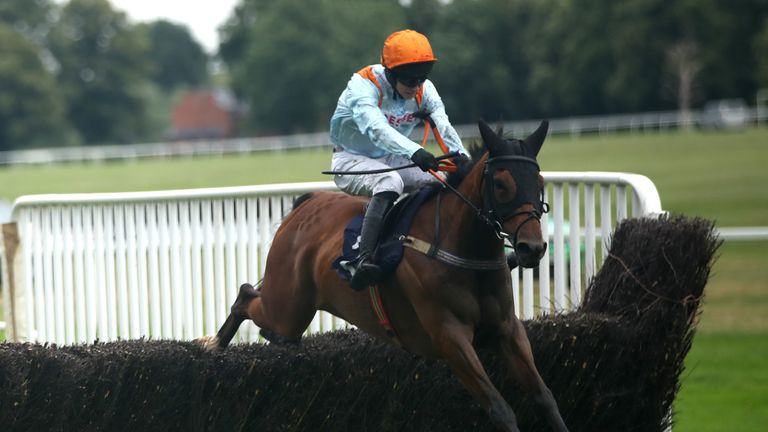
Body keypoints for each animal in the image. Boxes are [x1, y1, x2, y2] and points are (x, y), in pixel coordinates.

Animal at [198, 119, 568, 432]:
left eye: (539, 182)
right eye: (501, 183)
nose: (532, 248)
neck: (463, 250)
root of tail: (306, 205)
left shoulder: (508, 328)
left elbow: (546, 398)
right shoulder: (449, 336)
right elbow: (501, 409)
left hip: (289, 315)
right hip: (286, 308)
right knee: (246, 294)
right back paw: (213, 344)